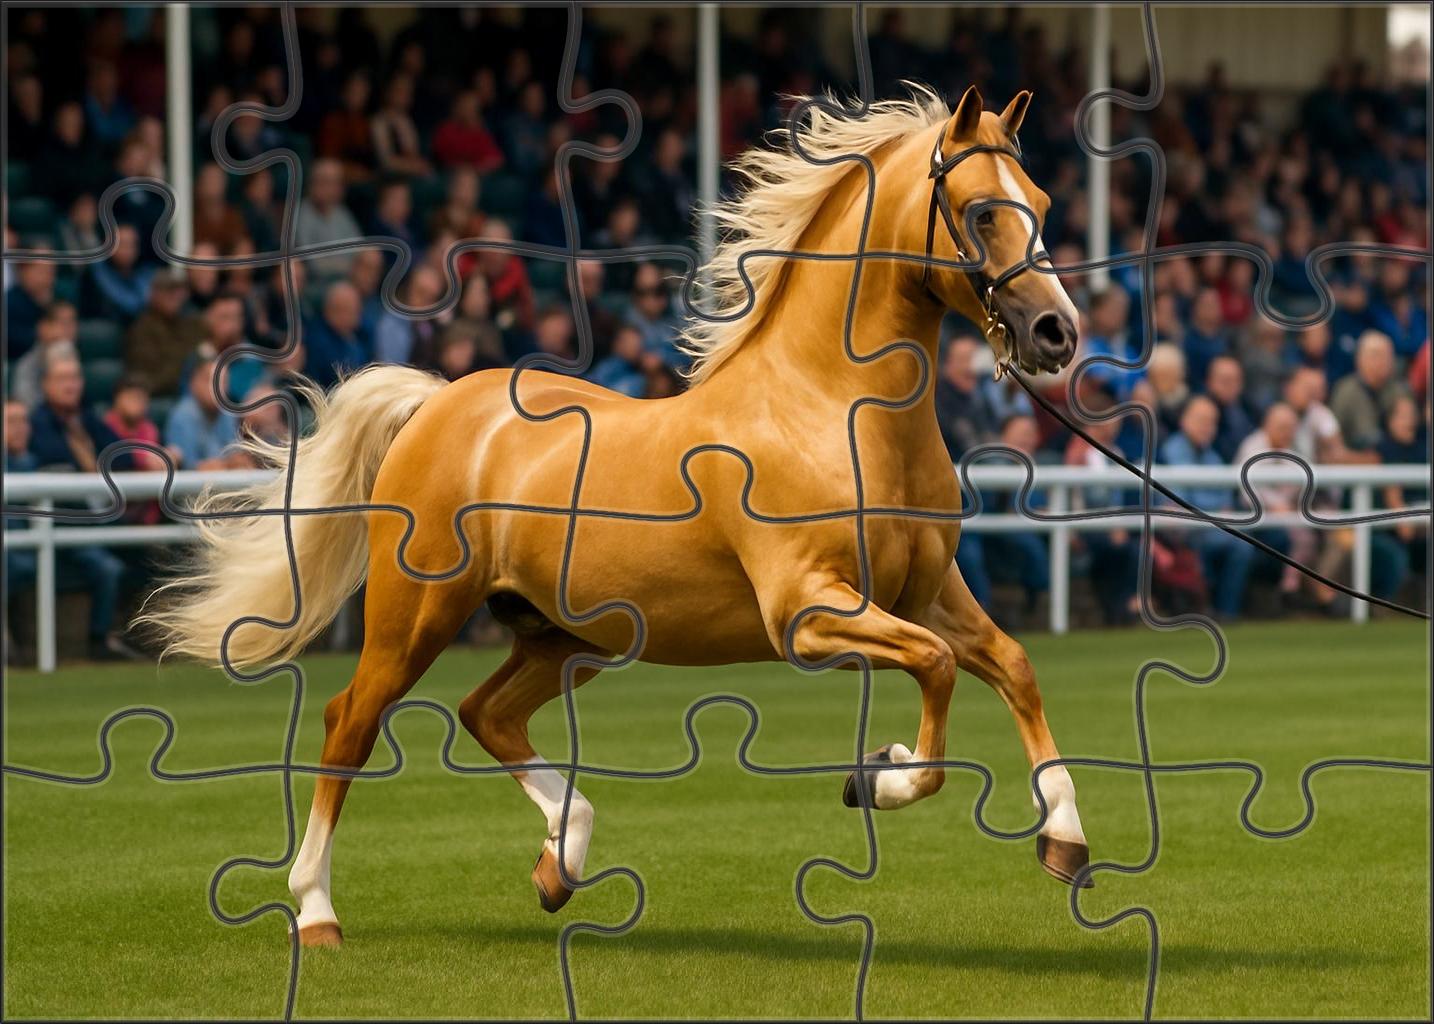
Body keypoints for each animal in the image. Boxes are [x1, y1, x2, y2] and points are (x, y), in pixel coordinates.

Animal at [144, 85, 1087, 948]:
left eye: (1041, 205)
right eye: (981, 210)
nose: (1056, 333)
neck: (828, 408)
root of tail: (437, 403)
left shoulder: (928, 595)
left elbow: (1011, 665)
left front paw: (1064, 840)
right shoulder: (808, 614)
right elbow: (935, 673)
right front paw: (877, 776)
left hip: (569, 636)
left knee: (487, 713)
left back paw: (560, 865)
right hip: (416, 618)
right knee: (351, 722)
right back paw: (316, 912)